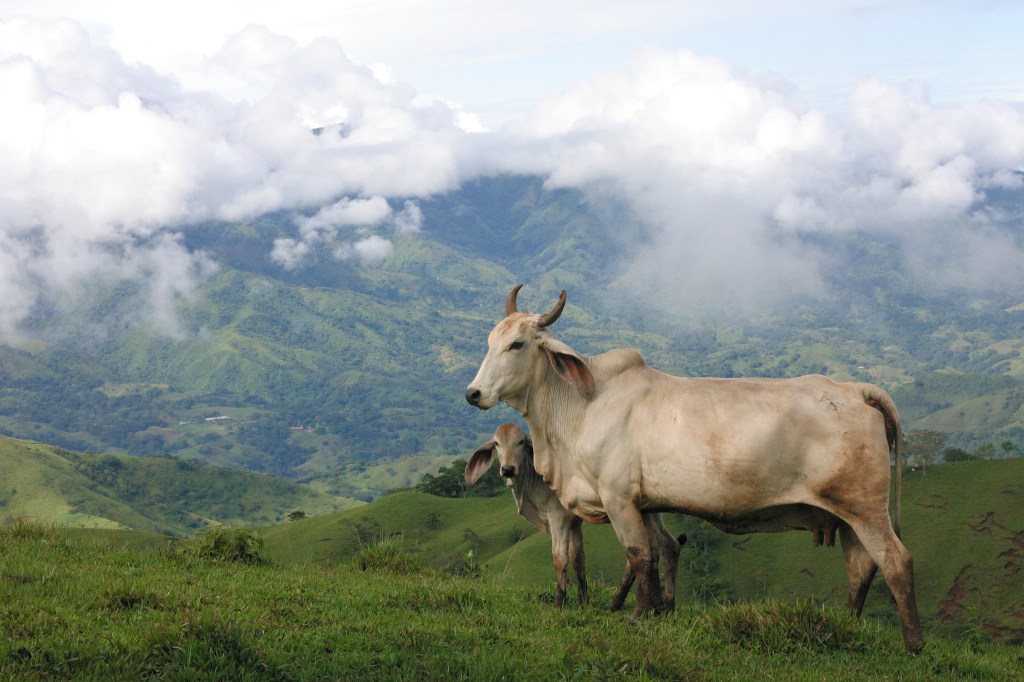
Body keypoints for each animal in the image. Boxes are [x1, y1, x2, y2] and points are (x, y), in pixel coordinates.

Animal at [465, 422, 687, 610]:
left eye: (520, 442)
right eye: (497, 443)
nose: (508, 469)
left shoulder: (558, 518)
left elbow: (560, 557)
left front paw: (559, 602)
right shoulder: (574, 523)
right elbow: (578, 558)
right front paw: (583, 601)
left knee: (659, 548)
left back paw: (660, 604)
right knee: (663, 547)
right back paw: (644, 603)